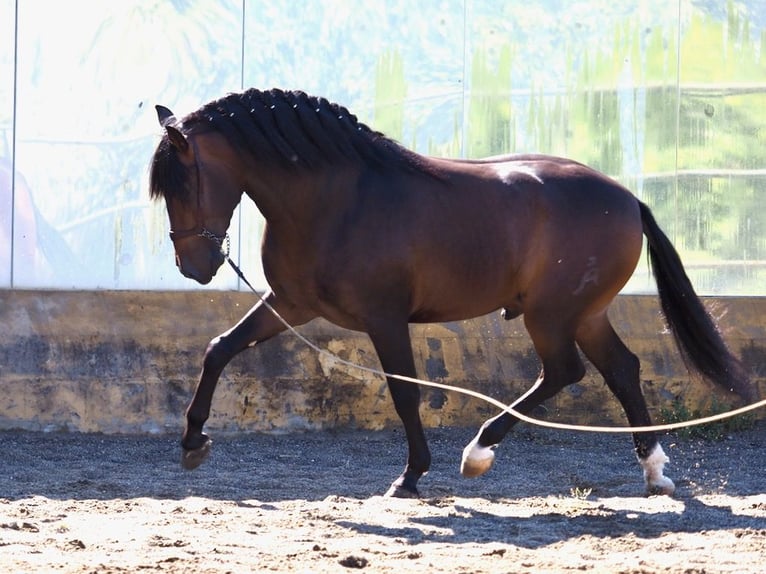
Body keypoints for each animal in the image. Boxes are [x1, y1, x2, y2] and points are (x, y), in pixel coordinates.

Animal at [150, 86, 756, 500]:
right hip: (583, 314)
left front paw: (411, 475)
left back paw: (479, 453)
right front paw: (193, 443)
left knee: (566, 371)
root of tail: (629, 199)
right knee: (622, 369)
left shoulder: (385, 317)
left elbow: (405, 392)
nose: (193, 267)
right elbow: (219, 349)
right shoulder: (290, 304)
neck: (337, 198)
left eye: (182, 183)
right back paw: (654, 472)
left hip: (551, 315)